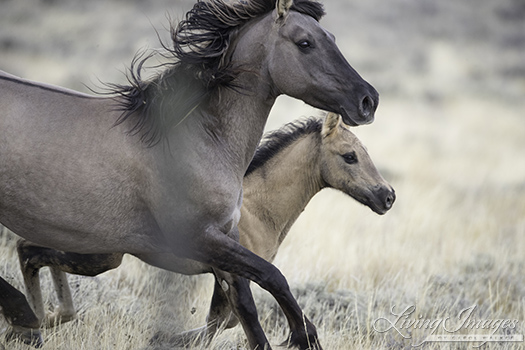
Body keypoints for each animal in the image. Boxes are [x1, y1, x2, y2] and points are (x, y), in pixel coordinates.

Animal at [15, 113, 392, 344]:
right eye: (349, 156)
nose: (387, 196)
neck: (257, 210)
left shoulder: (224, 276)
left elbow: (219, 323)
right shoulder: (231, 271)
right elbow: (231, 321)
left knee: (34, 250)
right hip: (101, 257)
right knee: (28, 250)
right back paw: (36, 322)